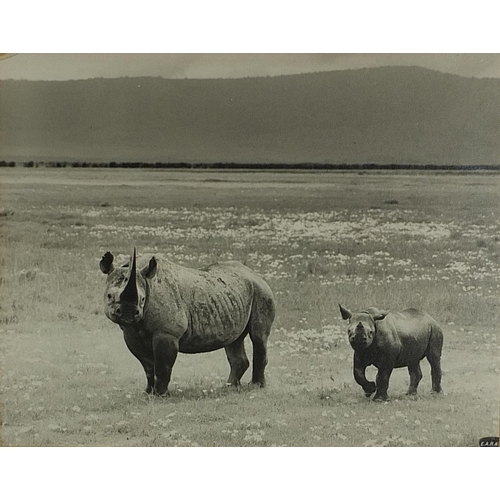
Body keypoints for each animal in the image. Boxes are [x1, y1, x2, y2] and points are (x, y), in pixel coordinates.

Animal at [99, 248, 276, 396]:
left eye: (142, 299)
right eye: (109, 296)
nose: (128, 313)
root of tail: (255, 274)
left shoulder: (167, 332)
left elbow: (162, 366)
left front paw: (160, 395)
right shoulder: (131, 333)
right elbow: (148, 366)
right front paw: (147, 393)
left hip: (262, 291)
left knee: (258, 337)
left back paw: (256, 386)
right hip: (235, 295)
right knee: (234, 340)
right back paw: (229, 387)